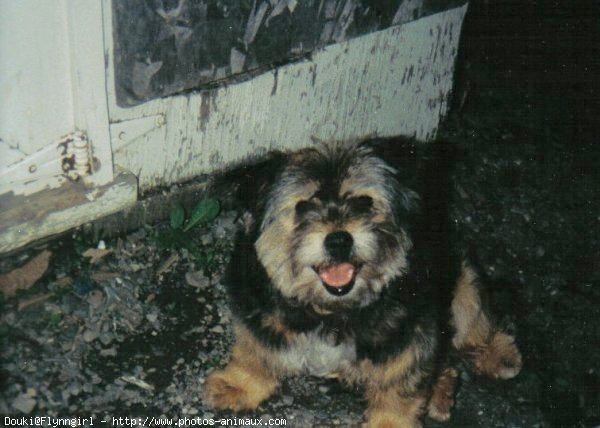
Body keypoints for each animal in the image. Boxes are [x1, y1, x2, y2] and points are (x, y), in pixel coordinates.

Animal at [204, 138, 524, 428]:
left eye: (364, 201)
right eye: (302, 205)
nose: (339, 240)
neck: (334, 310)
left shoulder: (408, 336)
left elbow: (399, 388)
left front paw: (390, 424)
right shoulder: (258, 314)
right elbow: (254, 354)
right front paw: (238, 385)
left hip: (465, 284)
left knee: (476, 329)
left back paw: (497, 357)